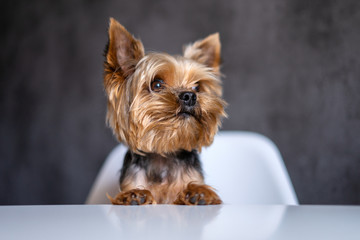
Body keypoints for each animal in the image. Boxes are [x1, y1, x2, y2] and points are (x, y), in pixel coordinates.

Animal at [104, 17, 226, 204]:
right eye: (157, 84)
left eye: (197, 87)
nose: (190, 96)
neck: (164, 156)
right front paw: (134, 196)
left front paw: (199, 193)